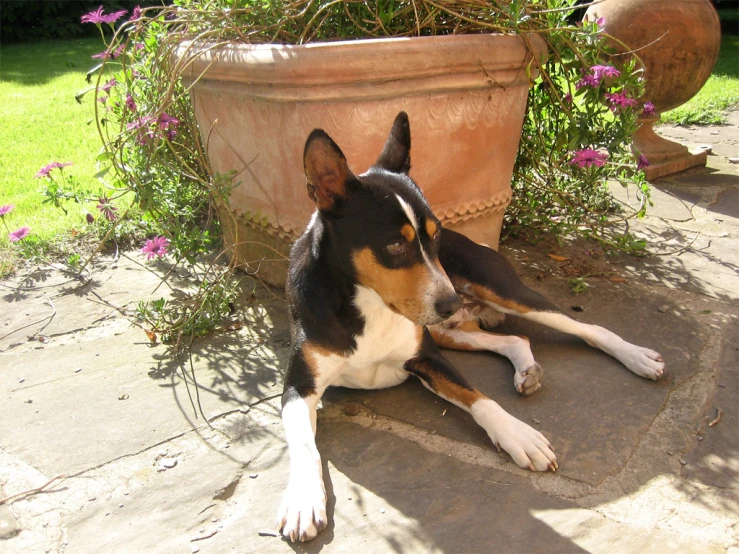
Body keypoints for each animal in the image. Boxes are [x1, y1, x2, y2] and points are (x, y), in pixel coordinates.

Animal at [276, 111, 664, 540]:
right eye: (394, 244)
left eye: (436, 235)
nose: (451, 302)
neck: (367, 306)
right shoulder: (299, 386)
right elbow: (304, 445)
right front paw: (302, 500)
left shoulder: (427, 357)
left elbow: (480, 398)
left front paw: (518, 436)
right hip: (449, 331)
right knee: (514, 338)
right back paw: (526, 370)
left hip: (501, 294)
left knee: (586, 329)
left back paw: (637, 357)